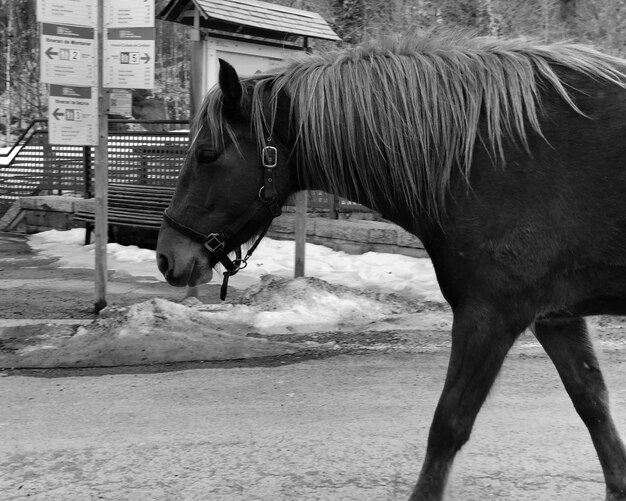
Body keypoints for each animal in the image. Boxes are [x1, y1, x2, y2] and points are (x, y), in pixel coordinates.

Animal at [156, 33, 624, 498]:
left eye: (207, 154)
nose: (166, 257)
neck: (491, 156)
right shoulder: (554, 317)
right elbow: (593, 404)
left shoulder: (489, 317)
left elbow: (448, 425)